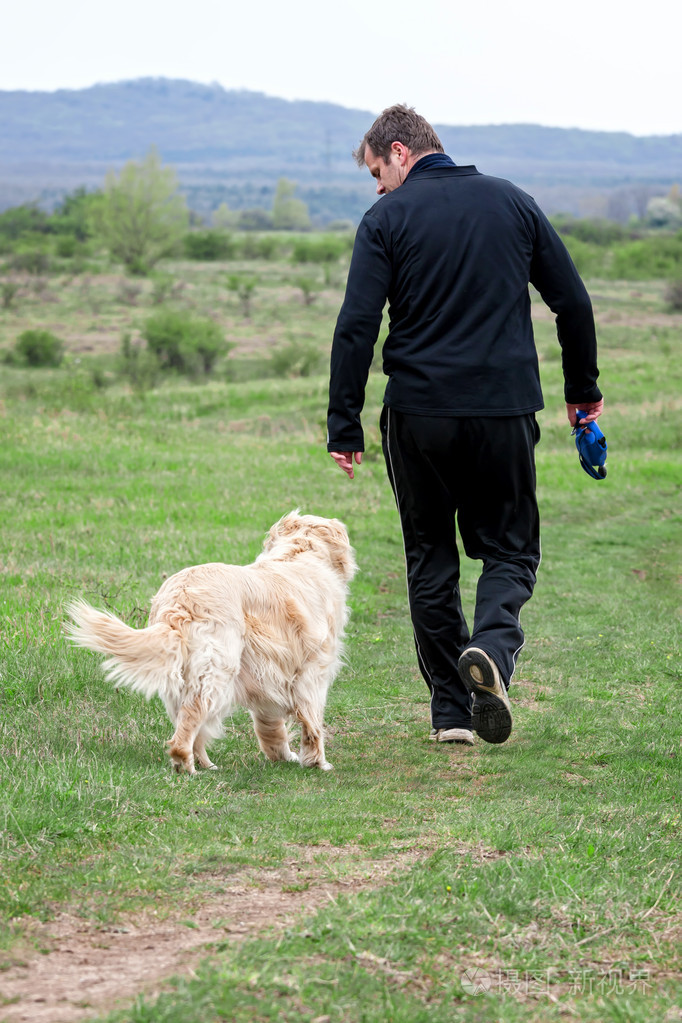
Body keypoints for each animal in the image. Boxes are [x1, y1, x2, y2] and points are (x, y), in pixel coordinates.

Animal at [66, 515, 357, 769]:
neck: (300, 552)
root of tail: (181, 597)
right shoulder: (313, 671)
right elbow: (312, 722)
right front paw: (318, 763)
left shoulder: (269, 674)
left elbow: (271, 727)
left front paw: (283, 757)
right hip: (217, 670)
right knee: (186, 730)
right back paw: (187, 766)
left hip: (184, 679)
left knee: (189, 726)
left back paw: (206, 764)